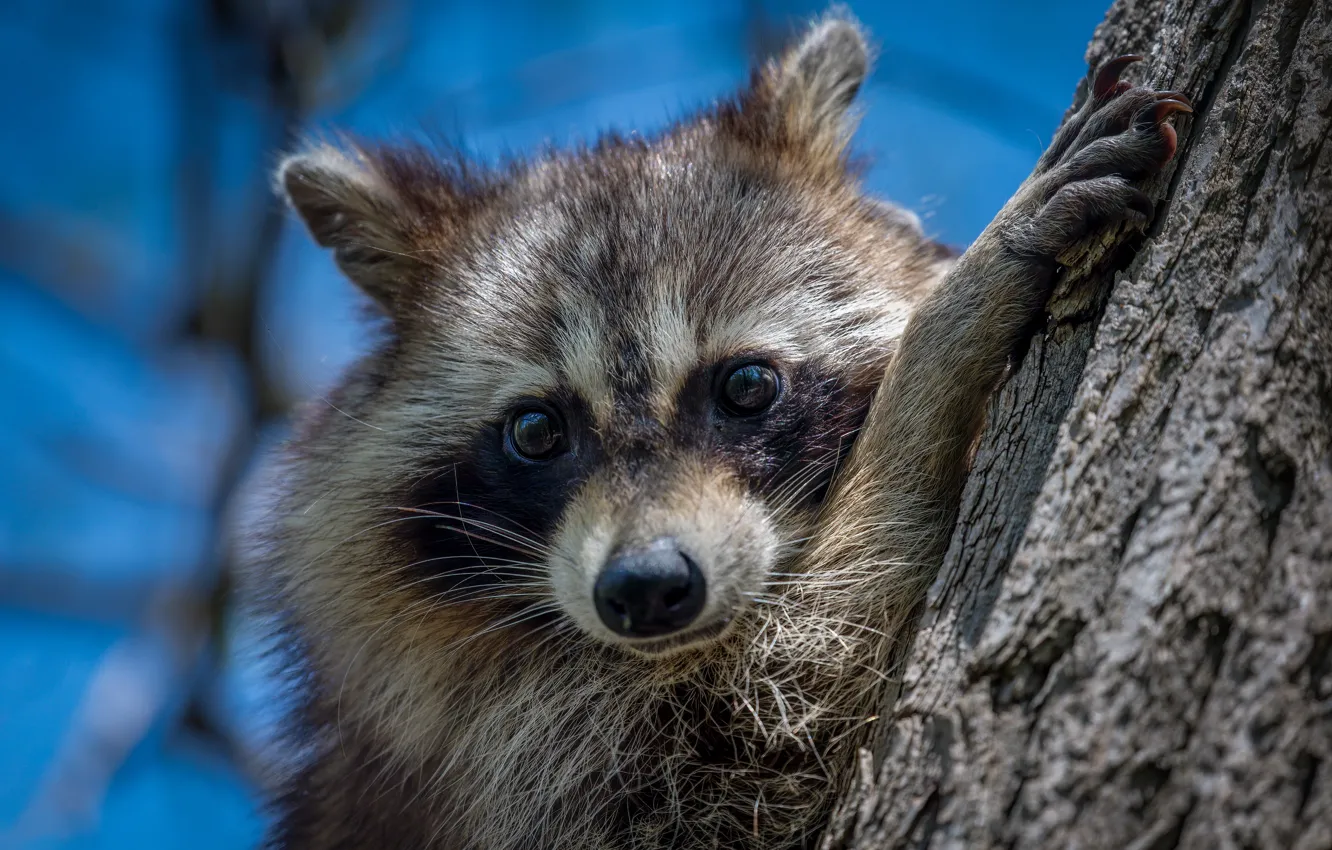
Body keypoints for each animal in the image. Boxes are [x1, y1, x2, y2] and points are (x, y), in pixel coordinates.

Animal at [249, 12, 1187, 849]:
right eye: (536, 431)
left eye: (745, 386)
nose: (645, 588)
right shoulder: (522, 767)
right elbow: (783, 713)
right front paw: (949, 333)